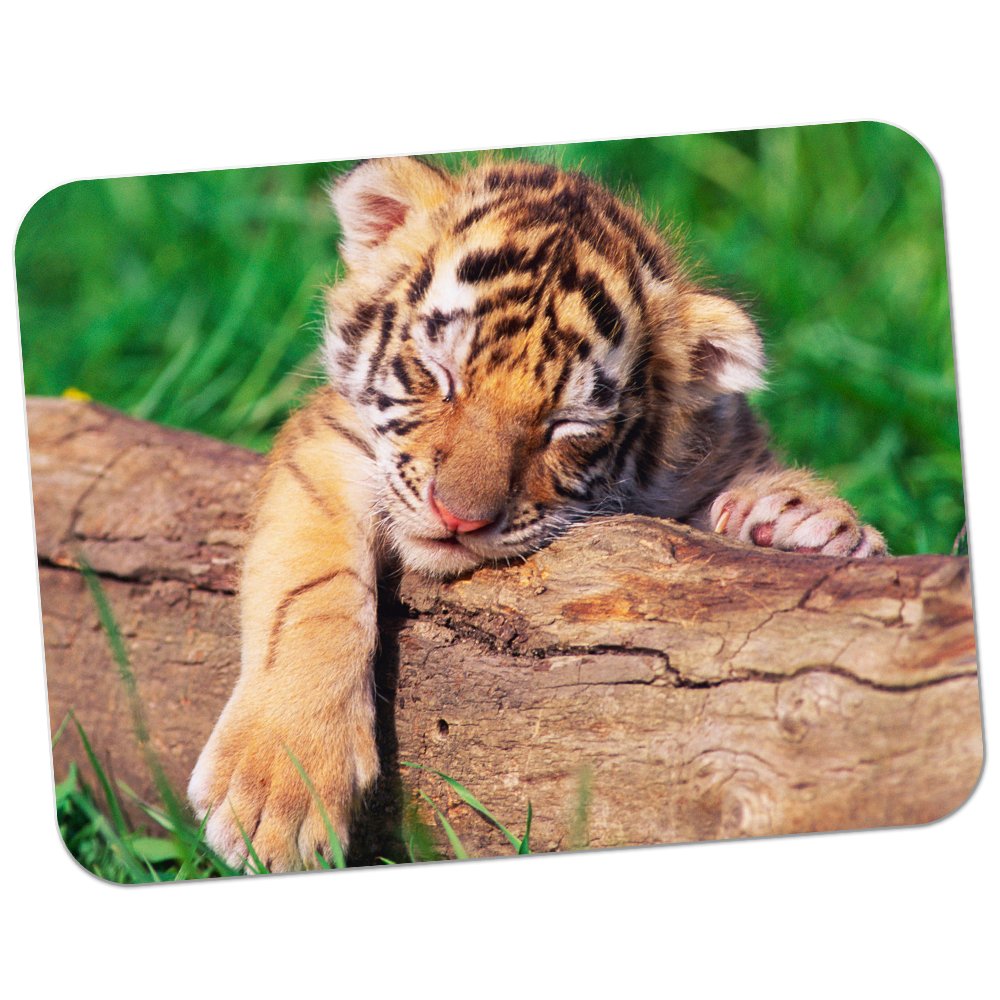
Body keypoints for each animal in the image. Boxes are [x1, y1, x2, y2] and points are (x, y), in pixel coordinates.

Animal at [188, 155, 886, 872]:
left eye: (568, 424)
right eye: (439, 374)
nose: (459, 516)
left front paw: (802, 520)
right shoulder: (328, 444)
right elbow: (308, 590)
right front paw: (277, 791)